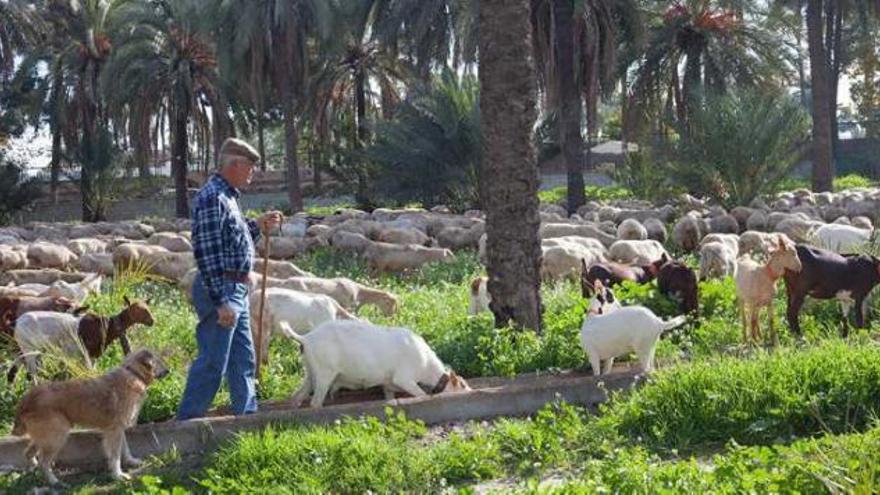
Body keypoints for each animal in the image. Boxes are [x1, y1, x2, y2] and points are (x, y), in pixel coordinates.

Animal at [11, 348, 168, 484]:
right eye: (159, 360)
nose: (169, 370)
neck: (134, 374)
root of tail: (26, 399)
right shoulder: (114, 431)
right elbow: (115, 456)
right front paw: (118, 475)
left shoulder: (118, 429)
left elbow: (125, 448)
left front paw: (131, 461)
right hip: (57, 436)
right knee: (43, 462)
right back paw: (54, 481)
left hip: (45, 436)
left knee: (28, 453)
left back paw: (34, 470)